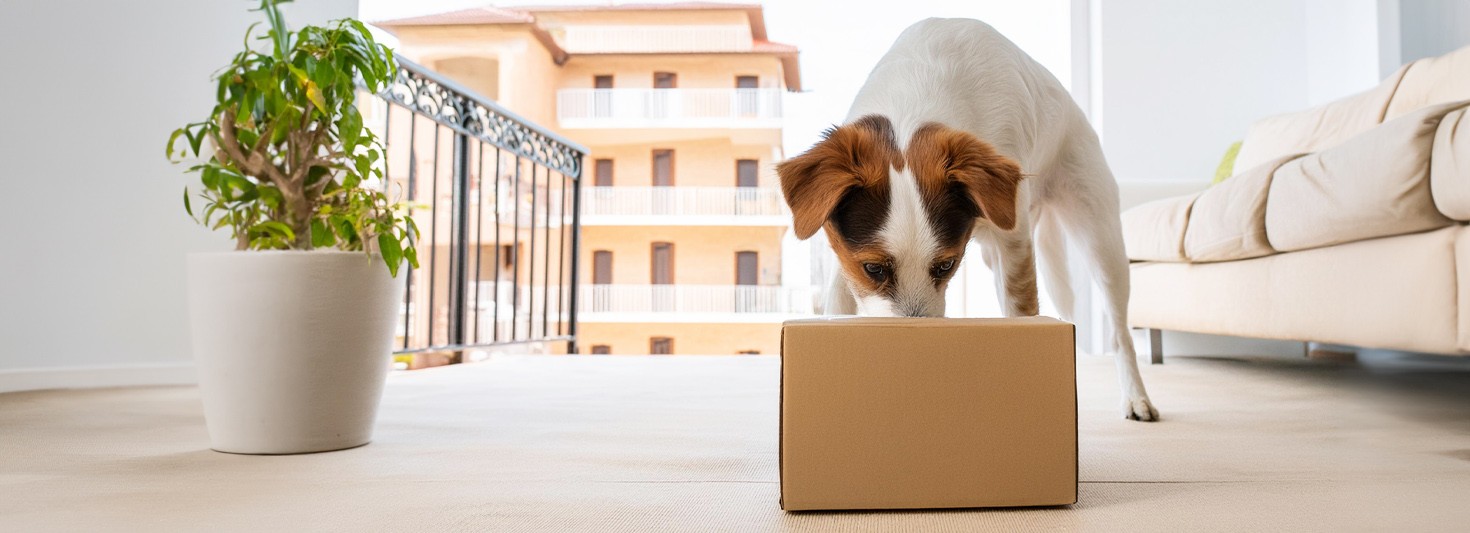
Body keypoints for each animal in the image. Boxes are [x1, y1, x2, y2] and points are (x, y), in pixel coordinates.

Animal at [782, 17, 1158, 422]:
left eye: (946, 265)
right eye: (873, 269)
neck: (918, 97)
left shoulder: (1016, 244)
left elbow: (1022, 314)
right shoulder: (844, 257)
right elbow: (840, 302)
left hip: (1099, 237)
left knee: (1119, 332)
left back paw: (1137, 397)